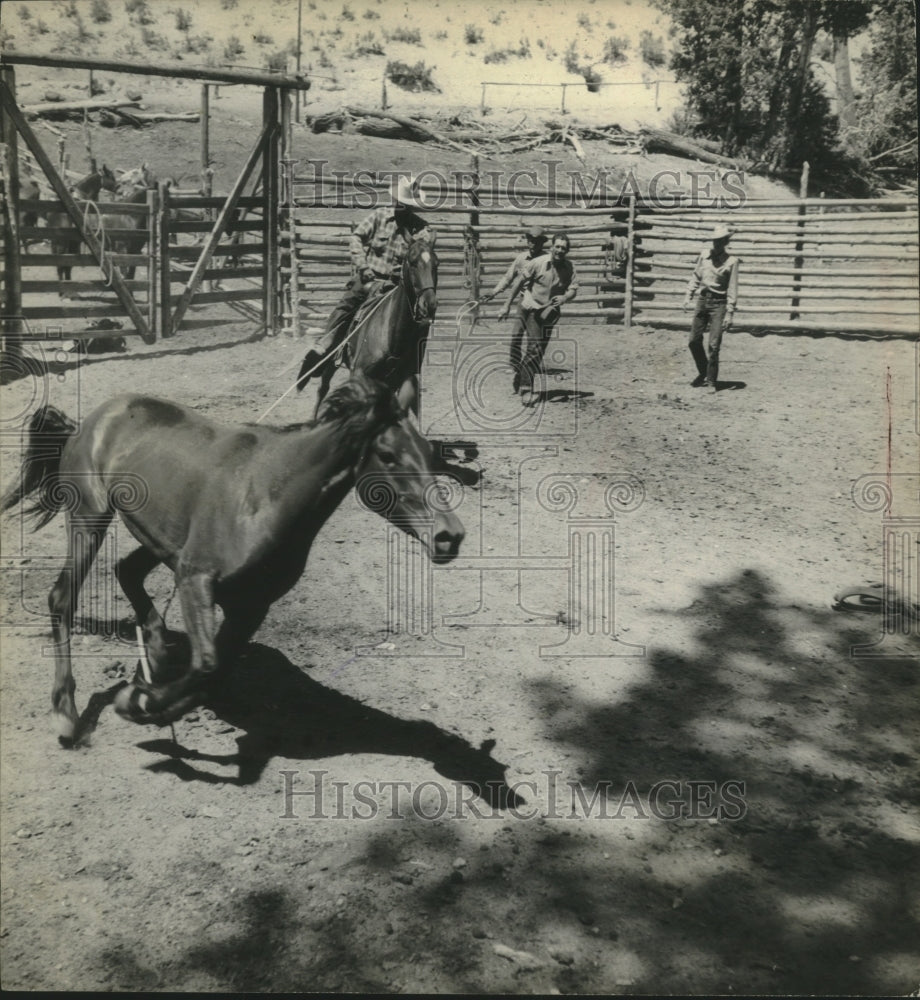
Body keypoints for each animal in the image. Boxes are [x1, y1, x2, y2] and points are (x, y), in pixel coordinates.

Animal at [0, 378, 460, 748]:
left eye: (429, 452)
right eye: (387, 455)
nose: (449, 536)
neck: (267, 495)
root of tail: (90, 419)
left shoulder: (249, 607)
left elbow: (212, 674)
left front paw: (148, 700)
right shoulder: (194, 578)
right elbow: (207, 662)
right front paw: (134, 704)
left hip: (160, 537)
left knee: (126, 571)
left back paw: (156, 657)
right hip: (89, 519)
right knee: (62, 597)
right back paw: (66, 713)